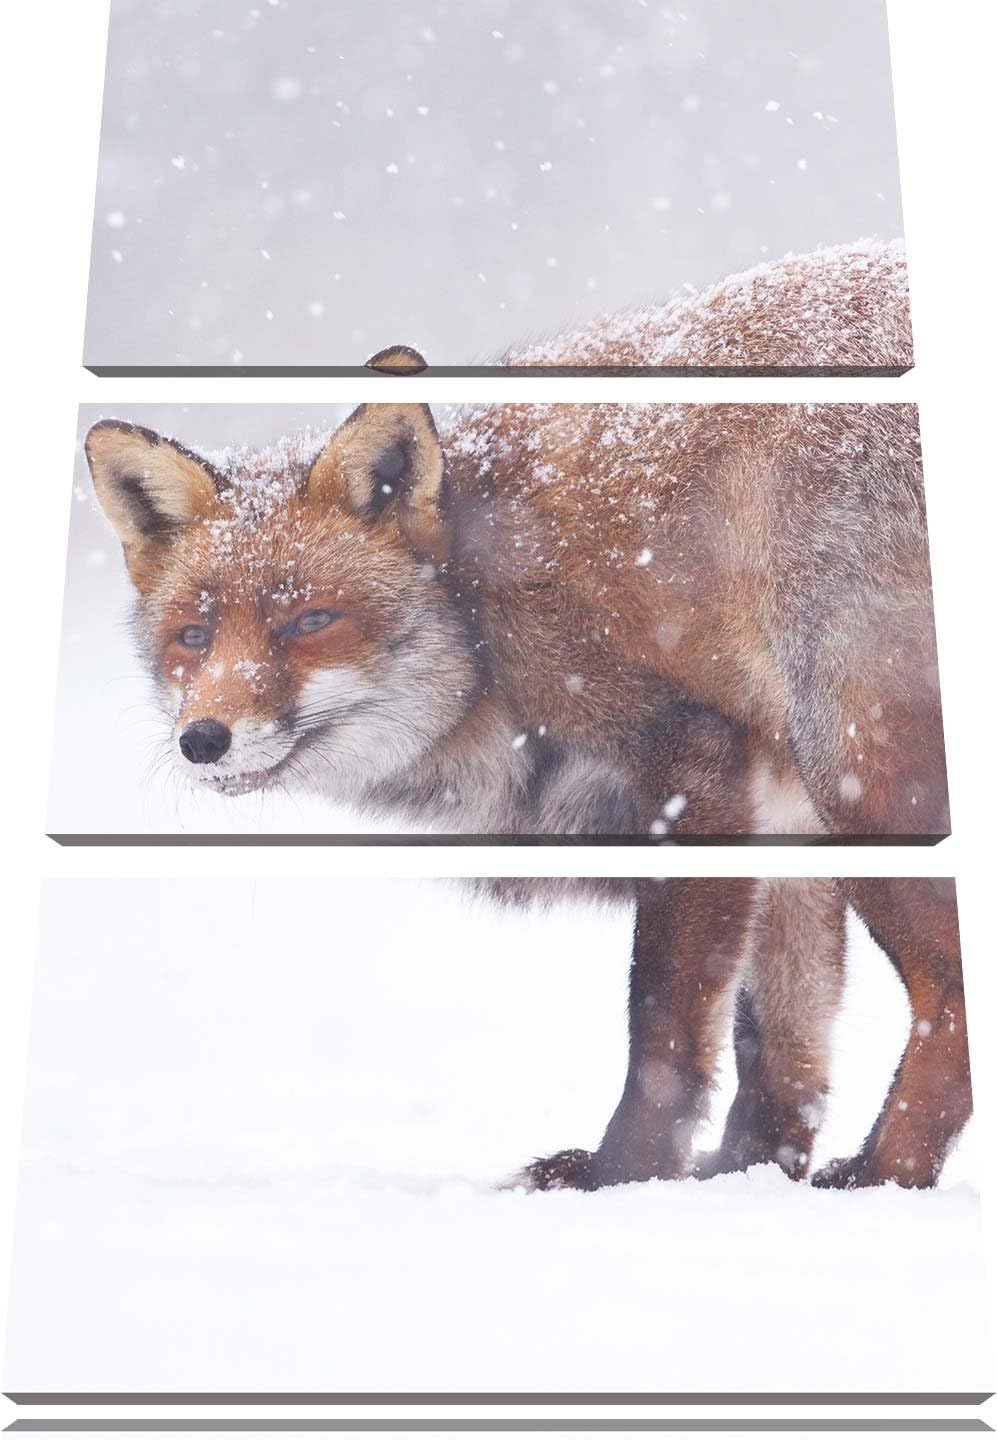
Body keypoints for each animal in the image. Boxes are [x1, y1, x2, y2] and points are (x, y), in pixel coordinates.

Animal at [85, 238, 967, 1186]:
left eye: (309, 622)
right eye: (193, 636)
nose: (202, 739)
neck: (487, 610)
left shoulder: (690, 765)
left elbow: (662, 1022)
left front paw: (621, 1175)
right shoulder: (775, 810)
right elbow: (778, 1037)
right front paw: (744, 1175)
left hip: (857, 777)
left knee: (950, 996)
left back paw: (883, 1178)